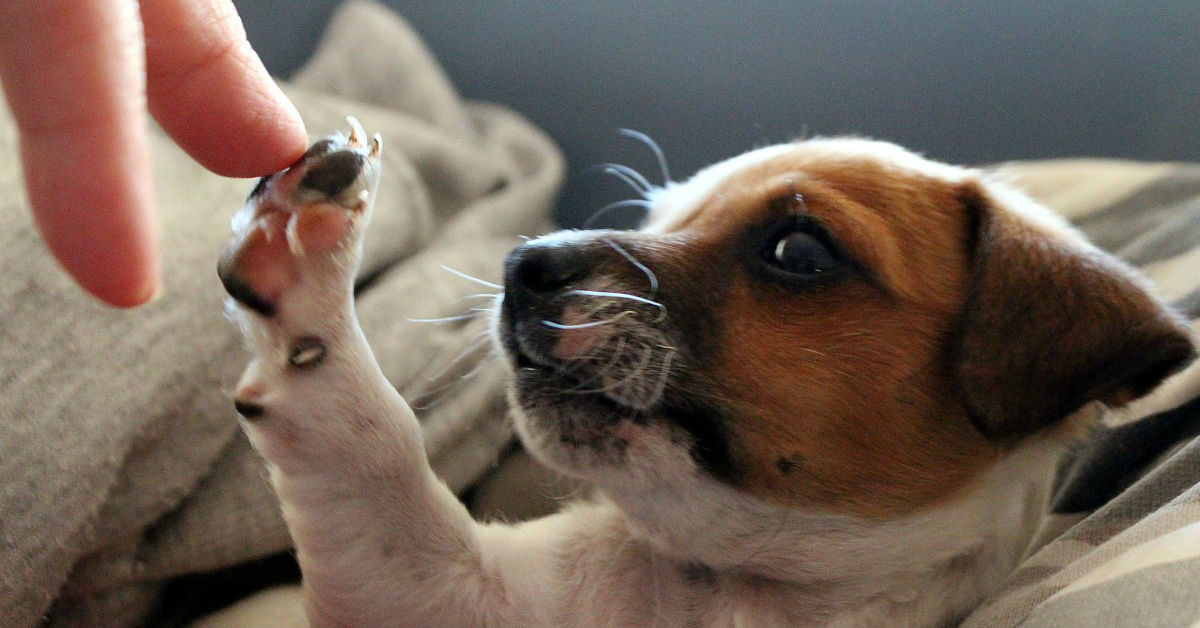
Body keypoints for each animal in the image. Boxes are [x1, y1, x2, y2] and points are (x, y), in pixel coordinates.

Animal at [220, 124, 1195, 628]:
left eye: (799, 251)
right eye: (656, 218)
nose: (522, 263)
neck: (735, 588)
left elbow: (367, 441)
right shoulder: (428, 590)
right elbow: (369, 445)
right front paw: (302, 252)